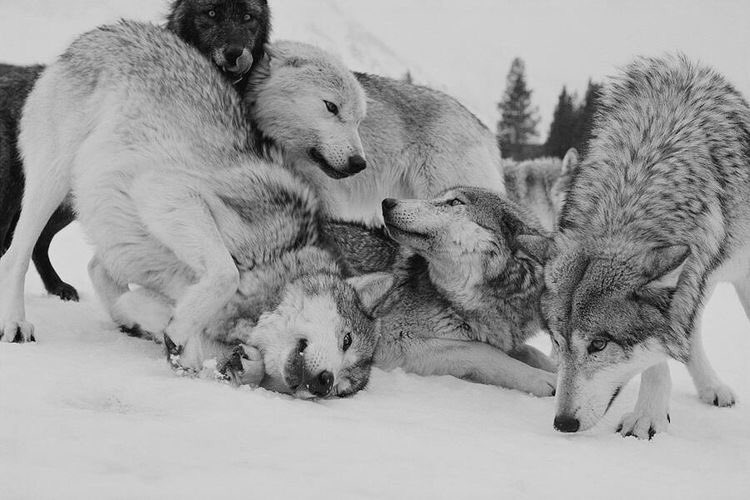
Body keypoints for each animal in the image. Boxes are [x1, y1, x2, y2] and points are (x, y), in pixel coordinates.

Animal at [328, 188, 558, 396]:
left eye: (455, 202)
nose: (387, 202)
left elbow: (532, 352)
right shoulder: (395, 342)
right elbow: (483, 351)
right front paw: (543, 379)